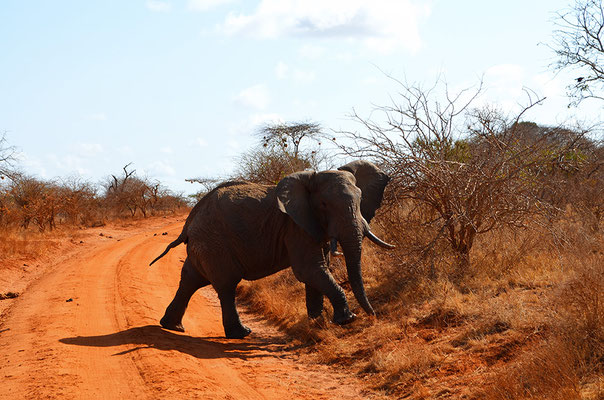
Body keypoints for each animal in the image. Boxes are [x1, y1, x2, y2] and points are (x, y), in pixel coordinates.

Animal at [150, 159, 394, 338]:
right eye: (325, 205)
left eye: (360, 200)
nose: (373, 316)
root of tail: (190, 219)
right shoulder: (295, 226)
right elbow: (309, 269)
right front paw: (346, 320)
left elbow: (318, 270)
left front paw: (317, 324)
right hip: (214, 243)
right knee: (226, 285)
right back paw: (241, 334)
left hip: (204, 243)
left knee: (190, 280)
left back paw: (172, 327)